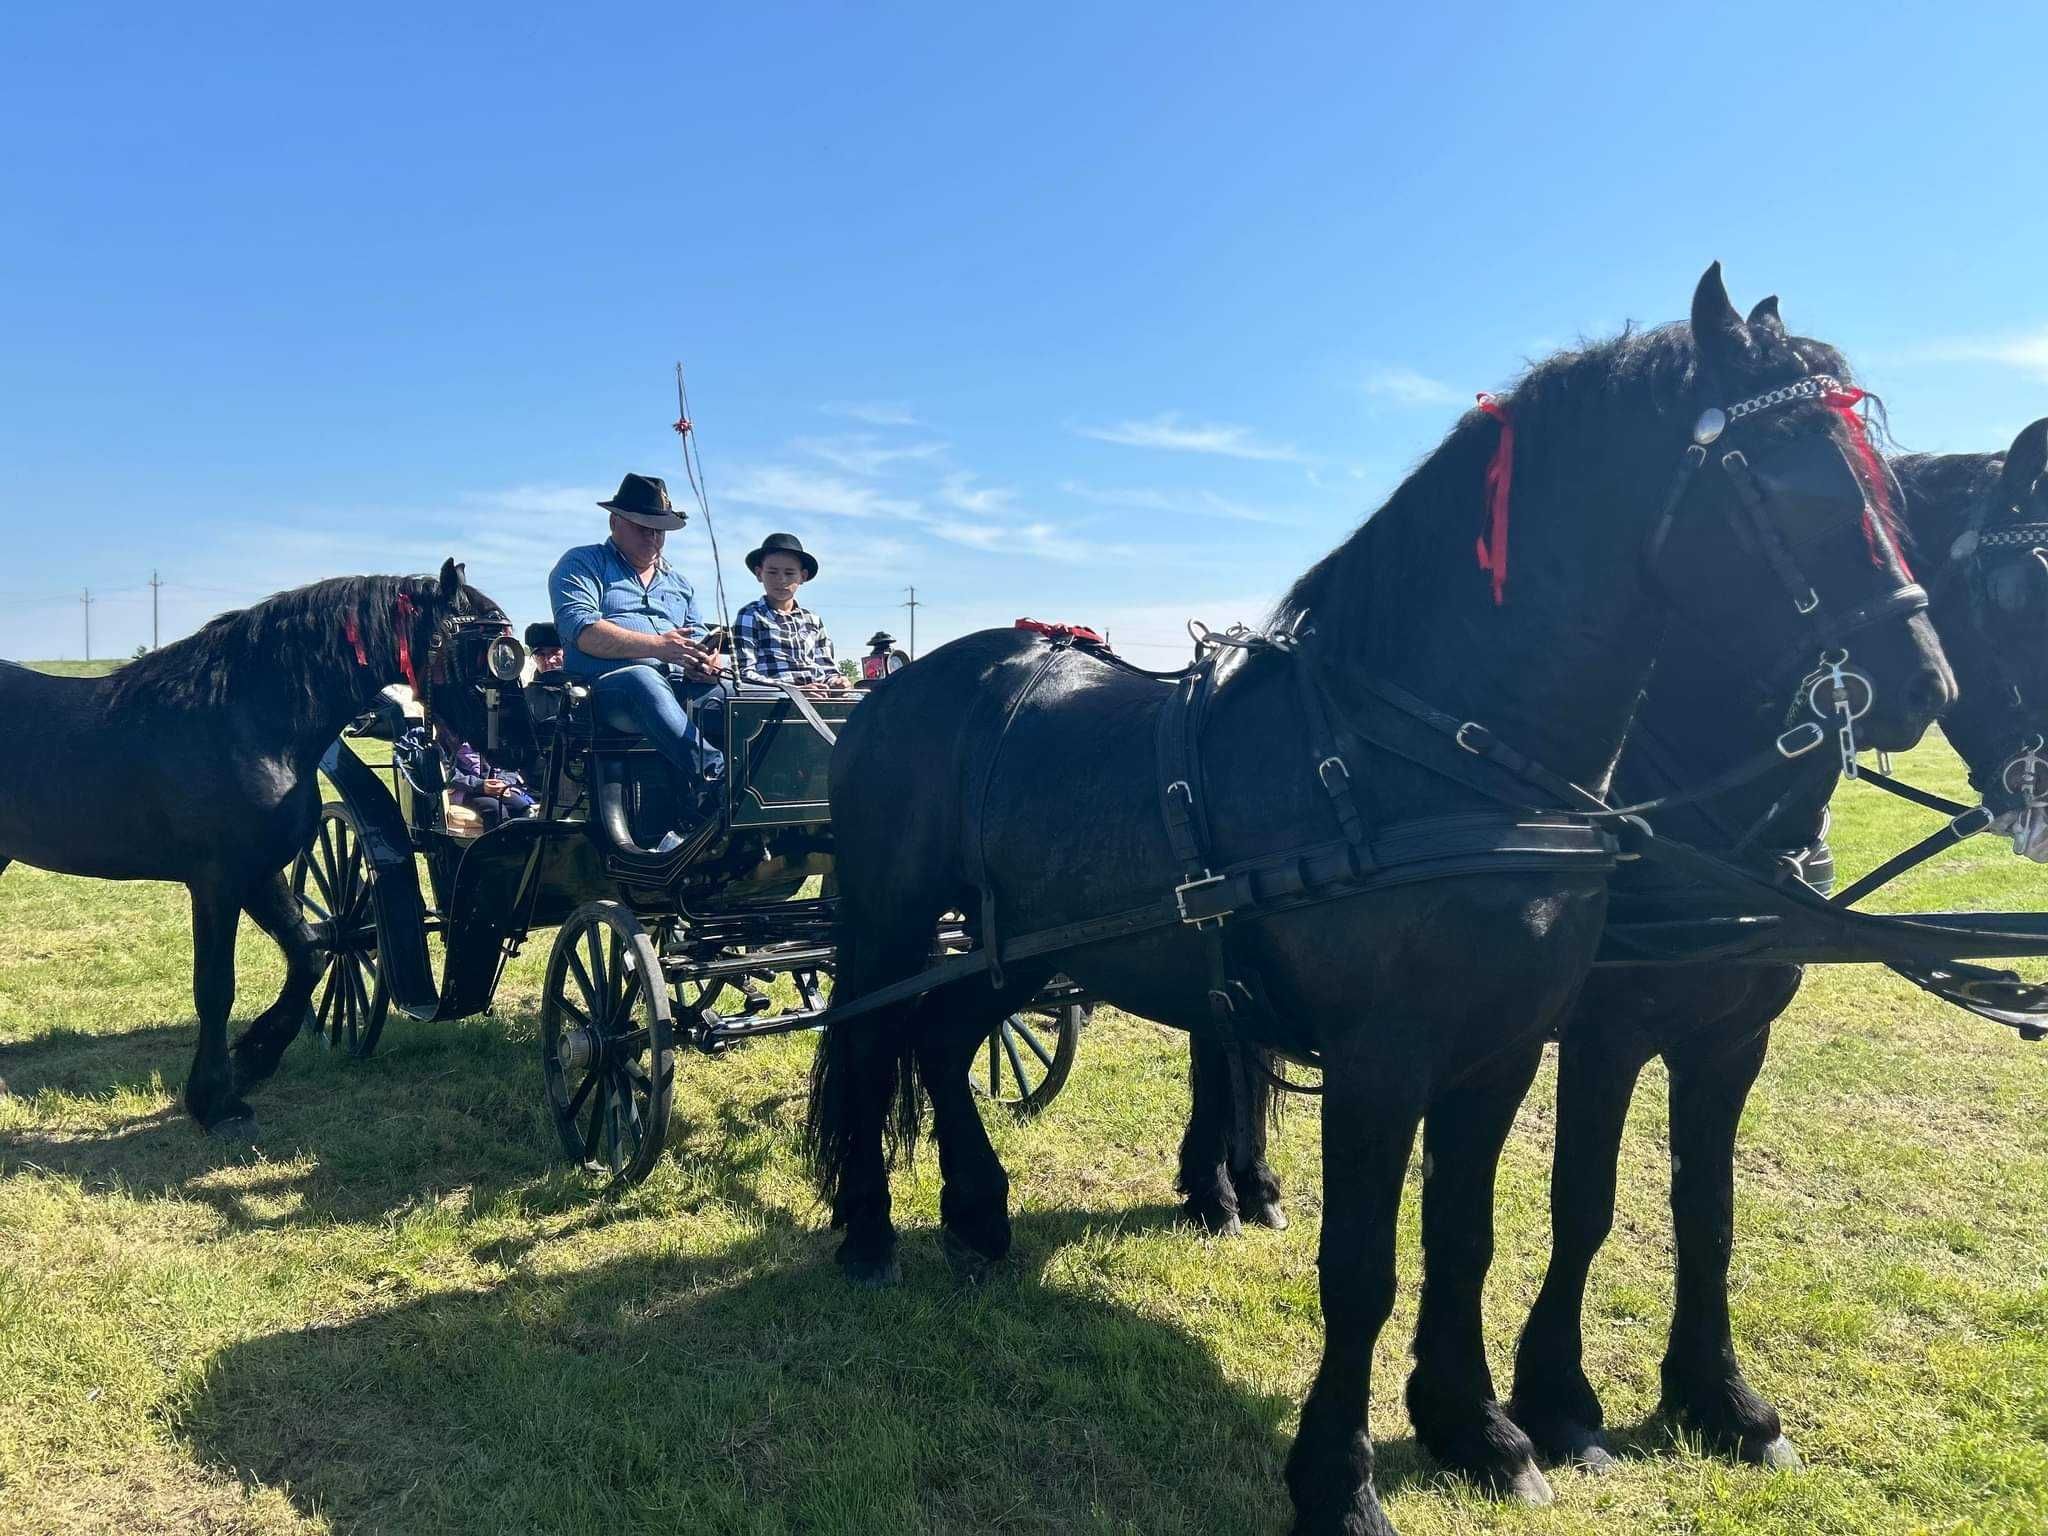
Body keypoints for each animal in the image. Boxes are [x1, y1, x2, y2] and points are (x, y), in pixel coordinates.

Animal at [0, 561, 493, 1138]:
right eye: (490, 645)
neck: (247, 724)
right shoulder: (217, 882)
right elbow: (215, 987)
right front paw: (216, 1102)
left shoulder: (259, 874)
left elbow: (311, 952)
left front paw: (254, 1058)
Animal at [802, 268, 1949, 1536]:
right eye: (1784, 479)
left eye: (1883, 486)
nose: (1921, 687)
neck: (1430, 757)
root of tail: (902, 685)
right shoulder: (1387, 1058)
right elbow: (1362, 1268)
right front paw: (1338, 1480)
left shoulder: (1506, 1049)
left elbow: (1471, 1237)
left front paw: (1478, 1429)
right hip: (893, 921)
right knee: (871, 1043)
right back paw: (868, 1232)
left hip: (1014, 945)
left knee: (944, 1041)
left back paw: (975, 1215)